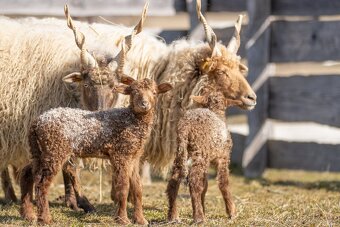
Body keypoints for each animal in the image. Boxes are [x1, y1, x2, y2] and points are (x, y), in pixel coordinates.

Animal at [18, 75, 171, 225]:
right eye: (133, 91)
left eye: (154, 93)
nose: (144, 104)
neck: (131, 120)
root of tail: (37, 122)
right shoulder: (121, 154)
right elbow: (123, 187)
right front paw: (122, 219)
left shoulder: (133, 156)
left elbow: (137, 188)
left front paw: (140, 220)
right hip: (55, 150)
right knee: (42, 184)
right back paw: (45, 219)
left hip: (40, 150)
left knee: (27, 173)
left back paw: (29, 215)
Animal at [167, 89, 242, 223]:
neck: (216, 112)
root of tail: (185, 126)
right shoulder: (223, 157)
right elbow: (223, 182)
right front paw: (232, 212)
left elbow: (205, 186)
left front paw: (204, 209)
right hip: (200, 152)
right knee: (194, 182)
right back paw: (198, 217)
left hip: (181, 152)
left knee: (174, 181)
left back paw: (173, 216)